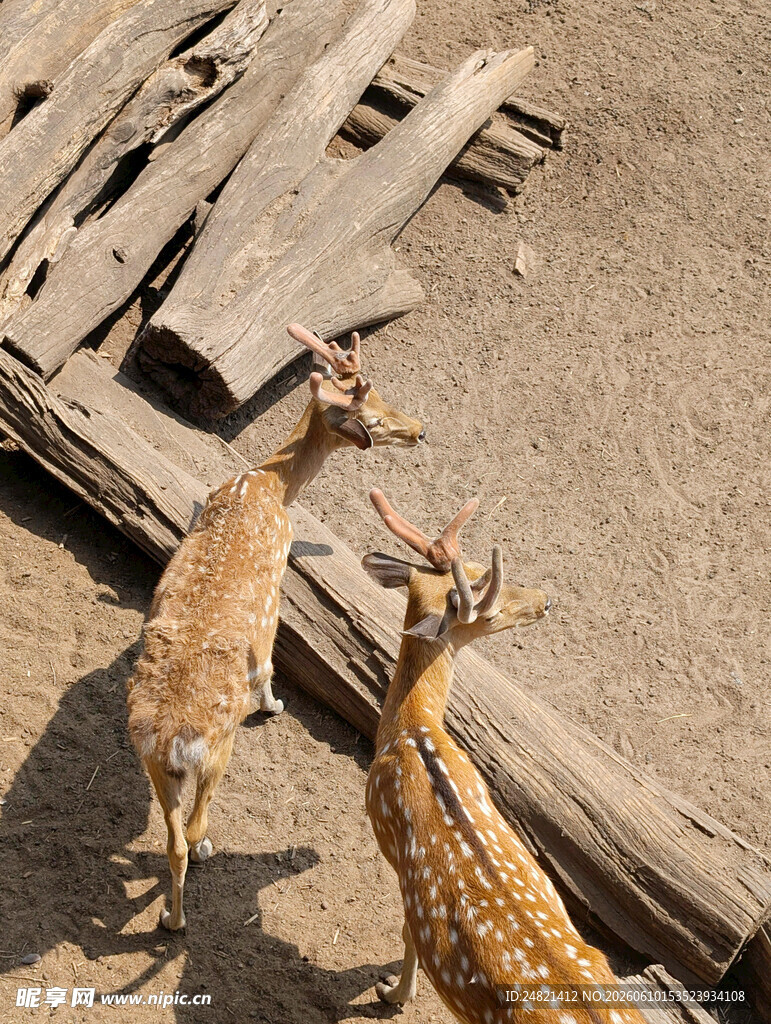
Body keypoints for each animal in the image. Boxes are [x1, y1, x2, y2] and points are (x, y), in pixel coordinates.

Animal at [127, 324, 424, 932]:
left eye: (383, 400)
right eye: (375, 416)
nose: (419, 429)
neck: (269, 481)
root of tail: (170, 741)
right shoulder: (276, 586)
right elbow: (267, 661)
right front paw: (274, 703)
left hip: (154, 769)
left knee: (171, 842)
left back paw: (169, 918)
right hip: (217, 753)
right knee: (193, 832)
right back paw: (192, 890)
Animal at [361, 489, 646, 1024]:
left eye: (478, 564)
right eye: (488, 613)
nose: (545, 600)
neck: (409, 732)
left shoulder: (393, 851)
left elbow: (408, 933)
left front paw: (392, 992)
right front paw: (394, 990)